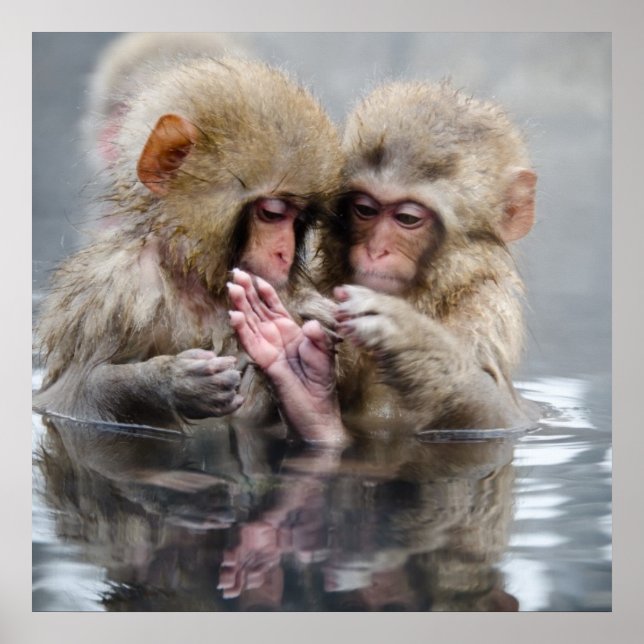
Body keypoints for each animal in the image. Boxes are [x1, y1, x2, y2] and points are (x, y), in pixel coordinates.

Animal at [33, 56, 343, 429]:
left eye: (299, 220)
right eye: (272, 213)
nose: (283, 254)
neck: (195, 276)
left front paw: (299, 370)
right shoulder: (118, 294)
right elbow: (69, 399)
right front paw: (166, 383)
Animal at [229, 80, 538, 441]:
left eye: (407, 218)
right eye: (365, 209)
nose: (376, 250)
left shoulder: (486, 313)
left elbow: (502, 424)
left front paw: (414, 339)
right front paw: (296, 377)